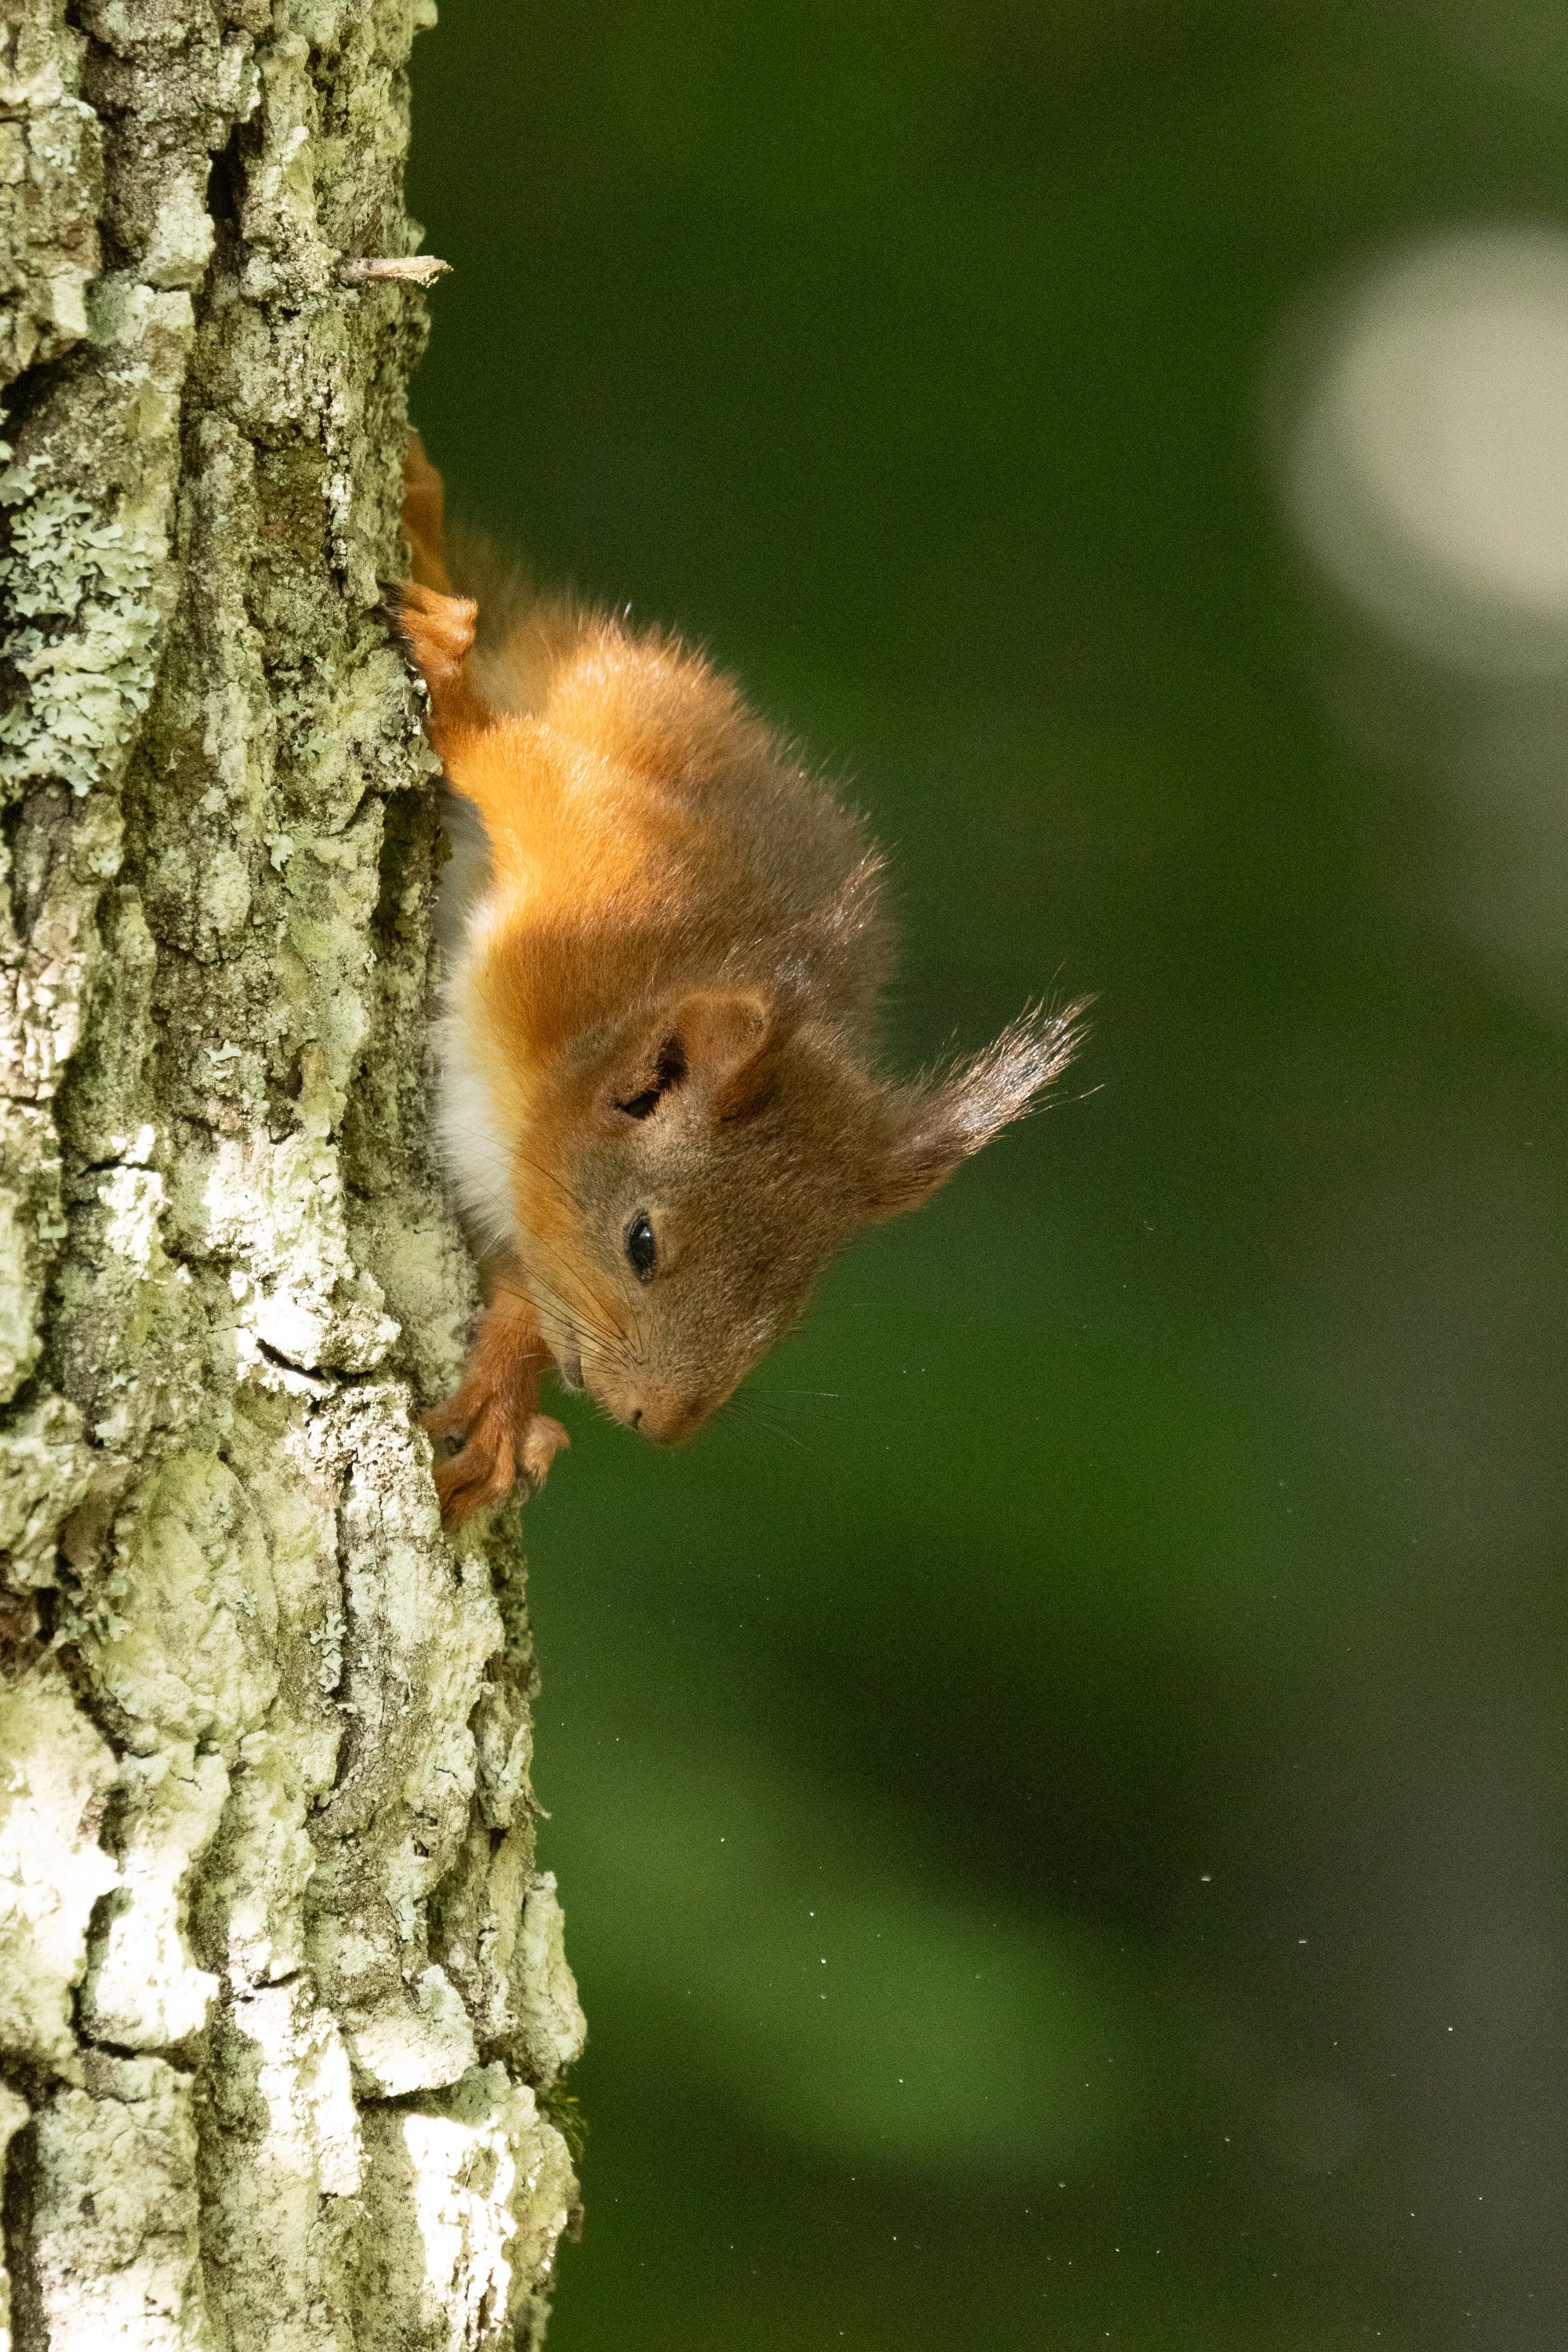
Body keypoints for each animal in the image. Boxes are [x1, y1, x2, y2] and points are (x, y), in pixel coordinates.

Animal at [388, 435, 1087, 1529]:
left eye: (793, 1301)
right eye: (641, 1243)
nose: (659, 1426)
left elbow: (525, 1289)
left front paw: (503, 1396)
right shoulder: (605, 886)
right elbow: (522, 770)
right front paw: (455, 700)